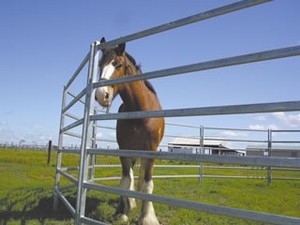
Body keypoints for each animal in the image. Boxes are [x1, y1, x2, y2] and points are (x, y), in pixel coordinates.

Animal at [95, 37, 164, 225]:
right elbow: (125, 180)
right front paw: (123, 213)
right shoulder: (124, 149)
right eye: (100, 65)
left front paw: (147, 217)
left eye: (118, 64)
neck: (140, 111)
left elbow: (147, 183)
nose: (101, 95)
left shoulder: (151, 151)